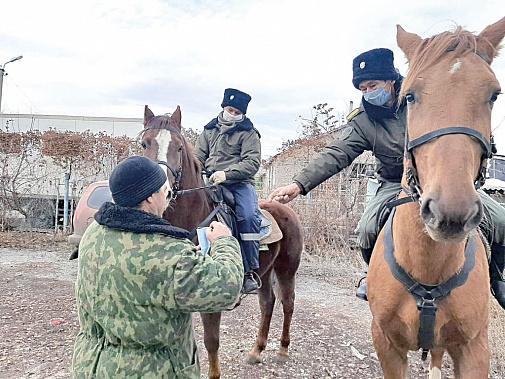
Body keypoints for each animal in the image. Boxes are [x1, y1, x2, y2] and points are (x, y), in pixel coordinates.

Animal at [140, 104, 302, 379]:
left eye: (179, 147)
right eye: (144, 143)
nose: (161, 191)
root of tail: (286, 209)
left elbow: (211, 342)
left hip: (286, 270)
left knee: (287, 304)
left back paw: (282, 349)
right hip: (265, 272)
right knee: (267, 304)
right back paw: (256, 351)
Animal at [366, 16, 504, 378]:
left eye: (494, 95)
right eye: (410, 97)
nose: (450, 214)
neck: (429, 268)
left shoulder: (474, 349)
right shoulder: (386, 344)